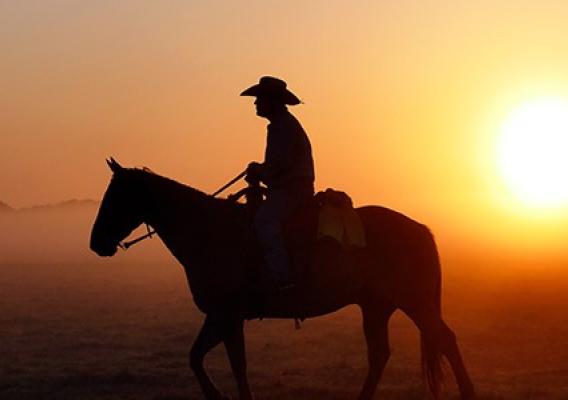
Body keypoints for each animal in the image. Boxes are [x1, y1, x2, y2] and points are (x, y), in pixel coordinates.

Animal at [91, 159, 478, 400]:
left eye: (116, 197)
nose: (96, 243)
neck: (210, 231)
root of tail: (419, 228)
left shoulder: (227, 317)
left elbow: (235, 365)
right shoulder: (219, 317)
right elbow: (196, 357)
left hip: (415, 303)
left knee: (445, 340)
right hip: (376, 307)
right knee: (380, 354)